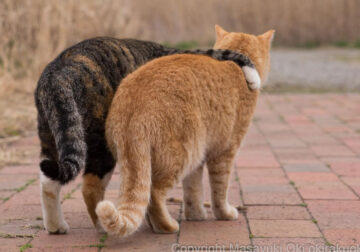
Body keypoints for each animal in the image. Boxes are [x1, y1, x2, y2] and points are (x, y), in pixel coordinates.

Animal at [35, 36, 260, 233]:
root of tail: (58, 74)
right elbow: (228, 53)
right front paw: (253, 77)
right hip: (101, 146)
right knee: (91, 188)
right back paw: (103, 227)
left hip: (55, 136)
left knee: (48, 181)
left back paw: (56, 226)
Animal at [97, 25, 274, 236]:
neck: (237, 66)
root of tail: (134, 106)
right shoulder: (224, 152)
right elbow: (219, 189)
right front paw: (224, 213)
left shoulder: (199, 160)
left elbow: (193, 190)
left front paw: (196, 215)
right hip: (182, 155)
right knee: (154, 194)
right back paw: (167, 226)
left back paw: (154, 225)